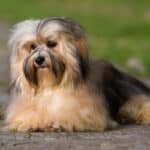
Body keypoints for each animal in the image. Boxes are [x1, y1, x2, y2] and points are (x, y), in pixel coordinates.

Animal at [4, 16, 150, 131]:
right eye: (32, 46)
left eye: (51, 43)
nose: (39, 59)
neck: (51, 85)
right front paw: (33, 122)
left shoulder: (87, 113)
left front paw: (55, 122)